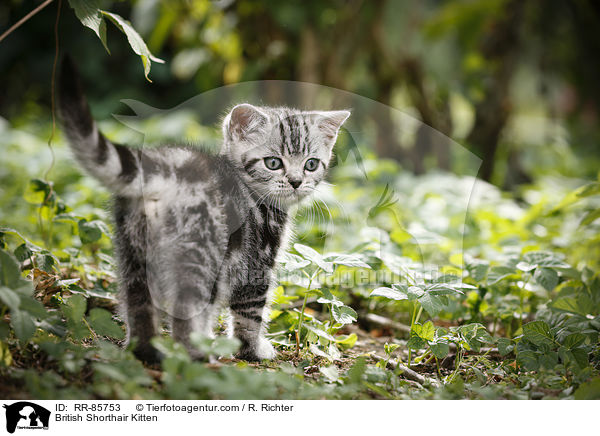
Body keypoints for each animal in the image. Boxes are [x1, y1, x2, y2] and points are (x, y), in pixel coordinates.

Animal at [58, 58, 350, 364]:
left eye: (311, 165)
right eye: (273, 163)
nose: (296, 182)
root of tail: (164, 166)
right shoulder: (256, 261)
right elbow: (250, 312)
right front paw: (252, 349)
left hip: (133, 249)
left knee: (137, 301)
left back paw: (147, 352)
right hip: (201, 252)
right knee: (188, 309)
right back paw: (197, 357)